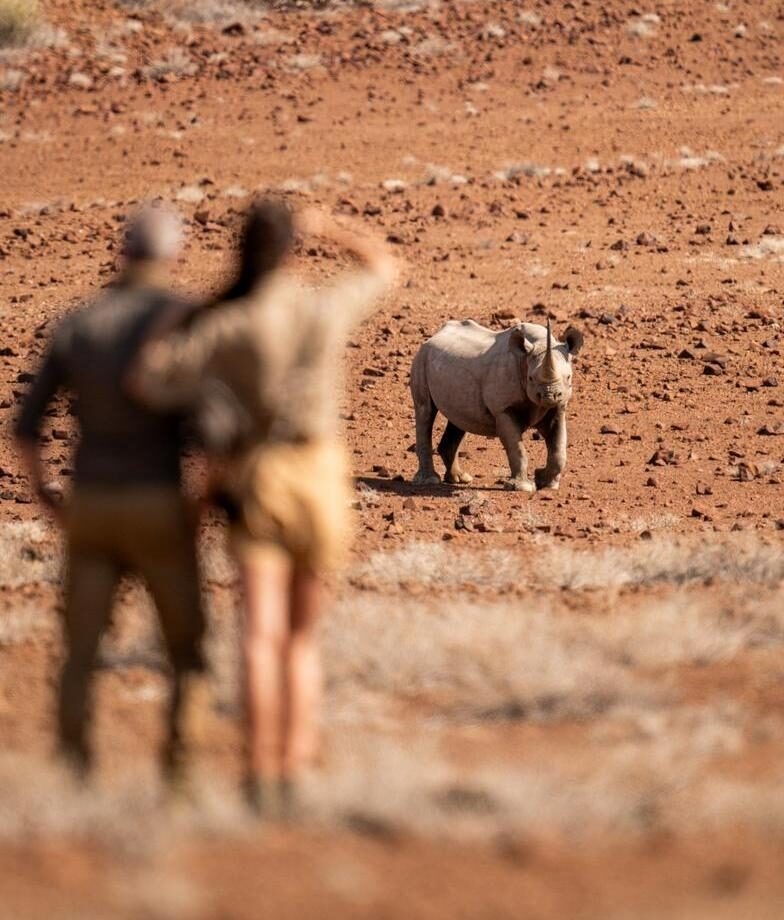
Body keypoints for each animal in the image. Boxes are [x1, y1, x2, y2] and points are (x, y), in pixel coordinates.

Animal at [410, 318, 584, 492]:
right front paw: (522, 487)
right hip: (421, 358)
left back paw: (460, 479)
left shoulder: (557, 408)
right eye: (531, 378)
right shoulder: (503, 410)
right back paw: (430, 481)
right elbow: (517, 449)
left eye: (568, 377)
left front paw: (546, 483)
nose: (550, 395)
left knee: (458, 420)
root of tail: (433, 337)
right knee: (425, 411)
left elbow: (559, 450)